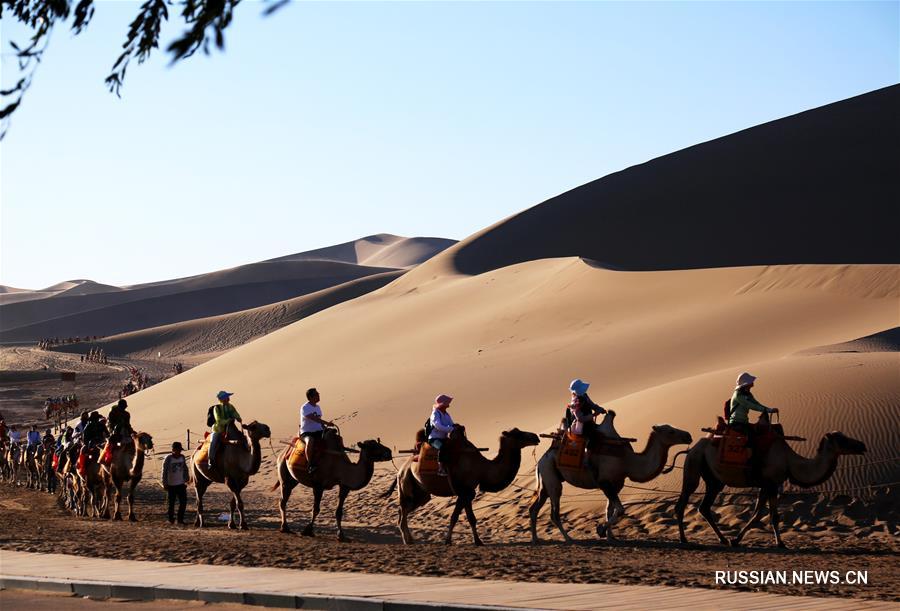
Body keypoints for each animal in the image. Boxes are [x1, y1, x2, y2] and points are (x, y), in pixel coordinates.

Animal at [388, 428, 540, 548]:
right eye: (518, 434)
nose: (536, 437)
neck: (482, 468)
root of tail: (401, 469)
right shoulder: (465, 491)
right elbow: (467, 517)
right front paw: (475, 541)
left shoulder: (467, 493)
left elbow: (458, 517)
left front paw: (454, 540)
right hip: (406, 482)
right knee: (403, 511)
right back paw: (407, 540)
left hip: (421, 493)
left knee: (404, 510)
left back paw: (409, 539)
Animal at [532, 414, 692, 544]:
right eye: (670, 431)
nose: (688, 436)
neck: (628, 461)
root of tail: (541, 460)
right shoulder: (605, 482)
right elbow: (620, 509)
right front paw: (601, 530)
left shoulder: (616, 484)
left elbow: (609, 509)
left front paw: (610, 536)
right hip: (551, 477)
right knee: (554, 512)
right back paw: (568, 538)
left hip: (546, 481)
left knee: (534, 507)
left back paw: (535, 538)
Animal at [672, 428, 868, 548]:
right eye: (842, 439)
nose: (863, 445)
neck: (790, 462)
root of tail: (691, 449)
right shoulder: (772, 484)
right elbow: (773, 516)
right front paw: (780, 543)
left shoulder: (766, 485)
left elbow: (758, 513)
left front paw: (736, 539)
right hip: (694, 466)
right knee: (683, 502)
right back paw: (683, 539)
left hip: (714, 481)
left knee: (704, 507)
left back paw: (722, 539)